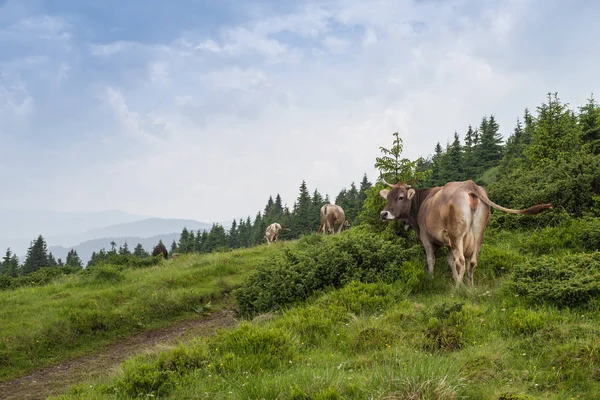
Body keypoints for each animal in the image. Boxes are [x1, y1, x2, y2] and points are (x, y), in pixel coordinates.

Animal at [380, 180, 552, 286]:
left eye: (400, 197)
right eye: (388, 197)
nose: (383, 214)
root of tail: (470, 185)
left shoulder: (426, 238)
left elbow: (431, 260)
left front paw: (432, 278)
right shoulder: (449, 242)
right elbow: (450, 261)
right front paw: (455, 278)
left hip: (456, 234)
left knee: (461, 261)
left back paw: (457, 289)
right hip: (478, 233)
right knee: (472, 261)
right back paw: (469, 287)